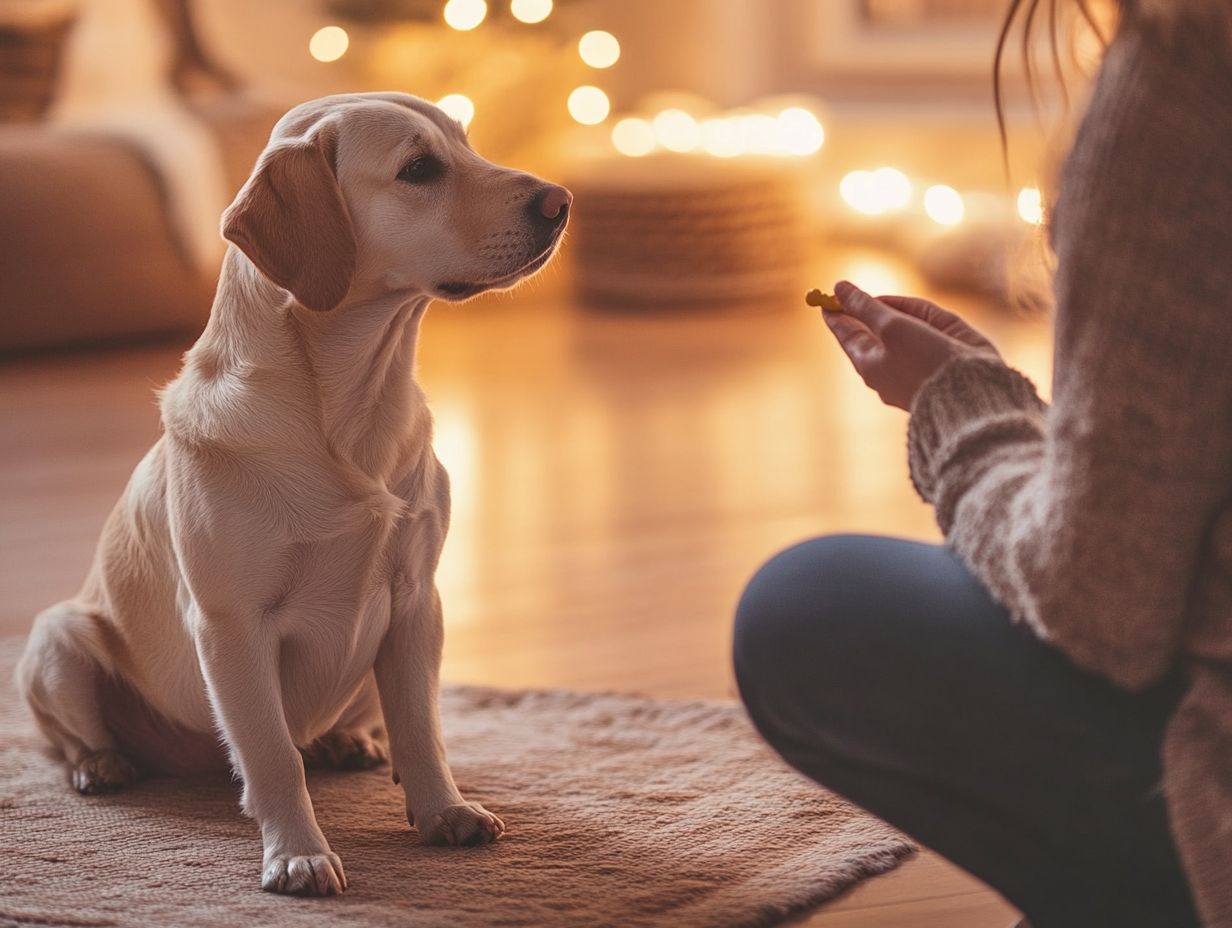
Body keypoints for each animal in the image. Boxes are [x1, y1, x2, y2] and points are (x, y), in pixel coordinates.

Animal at [15, 92, 571, 892]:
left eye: (468, 146)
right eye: (419, 169)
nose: (561, 202)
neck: (351, 412)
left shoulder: (416, 600)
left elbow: (423, 729)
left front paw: (444, 811)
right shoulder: (232, 625)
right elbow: (273, 757)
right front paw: (299, 853)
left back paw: (350, 743)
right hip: (59, 636)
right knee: (75, 740)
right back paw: (103, 762)